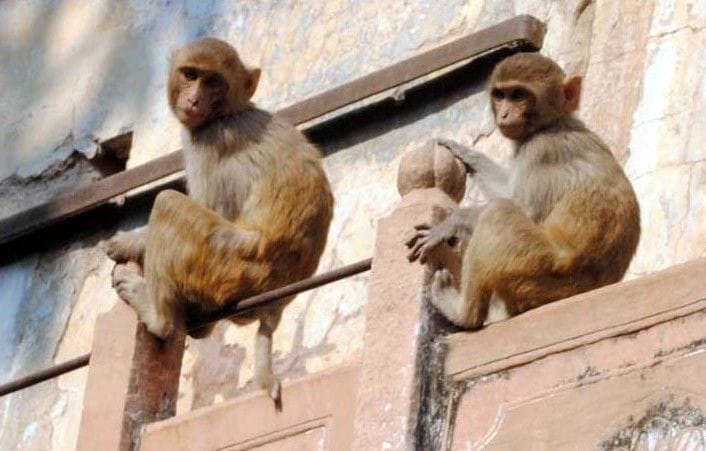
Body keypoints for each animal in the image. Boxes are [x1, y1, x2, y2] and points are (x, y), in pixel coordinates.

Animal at [105, 38, 334, 400]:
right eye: (190, 75)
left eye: (213, 82)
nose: (194, 99)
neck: (230, 111)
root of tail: (278, 301)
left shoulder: (210, 141)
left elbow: (210, 207)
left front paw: (129, 243)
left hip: (228, 262)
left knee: (169, 204)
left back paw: (159, 318)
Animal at [406, 52, 640, 330]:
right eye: (500, 95)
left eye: (519, 95)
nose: (505, 114)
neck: (552, 124)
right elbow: (505, 189)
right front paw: (466, 155)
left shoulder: (541, 150)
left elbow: (523, 209)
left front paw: (450, 222)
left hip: (537, 268)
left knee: (497, 214)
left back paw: (464, 313)